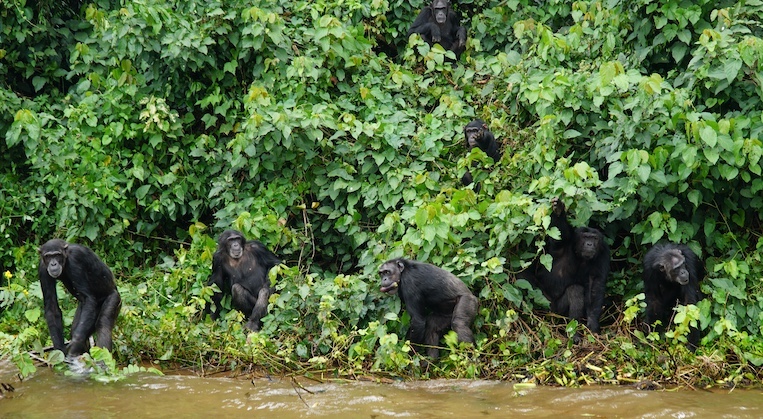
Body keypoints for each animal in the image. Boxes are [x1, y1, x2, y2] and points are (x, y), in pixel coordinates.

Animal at [528, 198, 612, 342]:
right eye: (585, 237)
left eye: (594, 238)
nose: (589, 244)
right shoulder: (566, 241)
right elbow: (559, 235)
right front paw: (558, 210)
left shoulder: (603, 253)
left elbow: (595, 285)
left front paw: (593, 324)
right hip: (545, 302)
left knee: (576, 290)